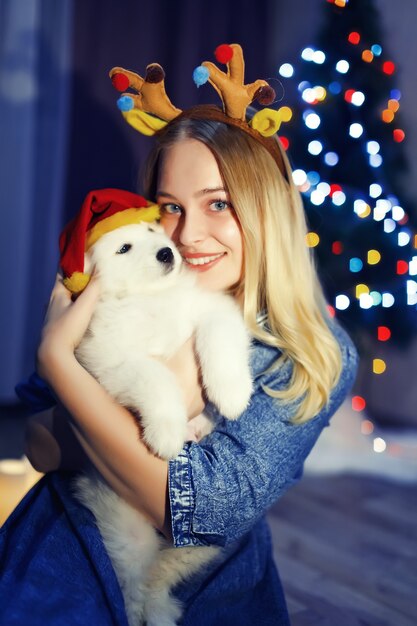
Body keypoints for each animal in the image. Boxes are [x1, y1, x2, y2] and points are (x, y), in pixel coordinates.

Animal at [73, 219, 252, 624]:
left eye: (154, 230)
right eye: (124, 248)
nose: (167, 253)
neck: (150, 300)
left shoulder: (211, 309)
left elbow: (219, 338)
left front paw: (232, 393)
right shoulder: (110, 363)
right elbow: (156, 378)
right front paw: (167, 433)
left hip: (201, 540)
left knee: (162, 576)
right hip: (128, 533)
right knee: (135, 586)